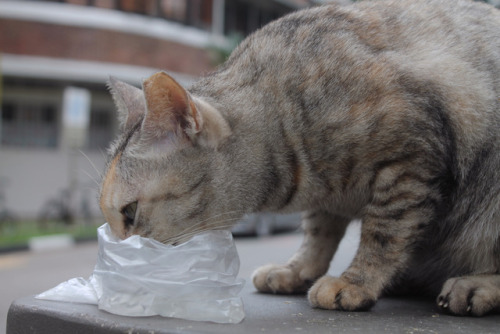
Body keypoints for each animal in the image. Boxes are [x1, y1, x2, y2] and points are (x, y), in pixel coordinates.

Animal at [99, 0, 498, 316]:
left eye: (130, 212)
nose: (117, 253)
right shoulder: (330, 196)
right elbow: (318, 233)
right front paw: (298, 270)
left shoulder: (411, 160)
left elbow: (384, 232)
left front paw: (356, 282)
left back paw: (474, 285)